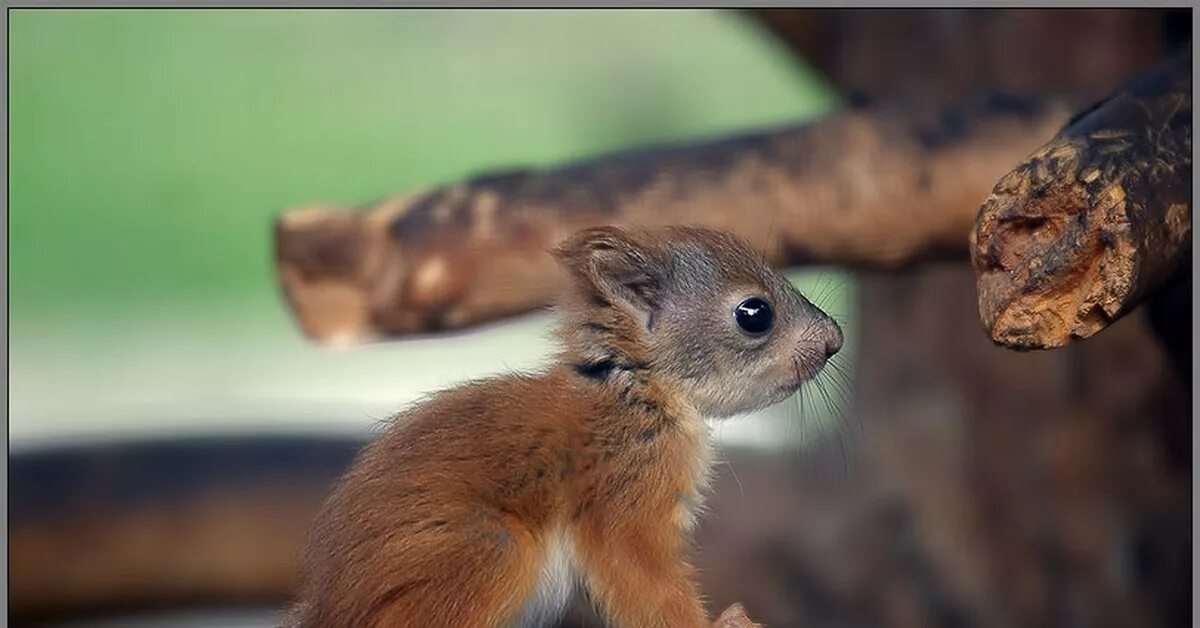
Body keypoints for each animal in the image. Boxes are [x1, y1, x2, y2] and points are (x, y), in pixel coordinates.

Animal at [286, 223, 844, 624]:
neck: (637, 388)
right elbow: (642, 577)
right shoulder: (627, 495)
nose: (835, 339)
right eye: (754, 313)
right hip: (487, 553)